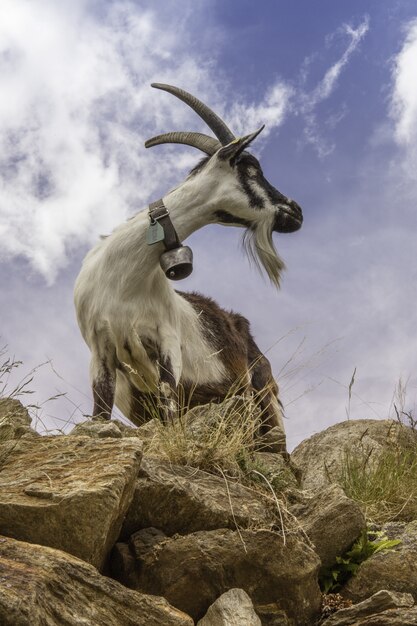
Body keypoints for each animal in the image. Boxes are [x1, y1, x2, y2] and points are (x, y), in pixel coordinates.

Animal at [74, 85, 302, 450]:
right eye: (251, 169)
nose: (295, 211)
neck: (125, 281)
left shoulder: (166, 341)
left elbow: (169, 406)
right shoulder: (102, 349)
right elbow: (100, 412)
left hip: (259, 389)